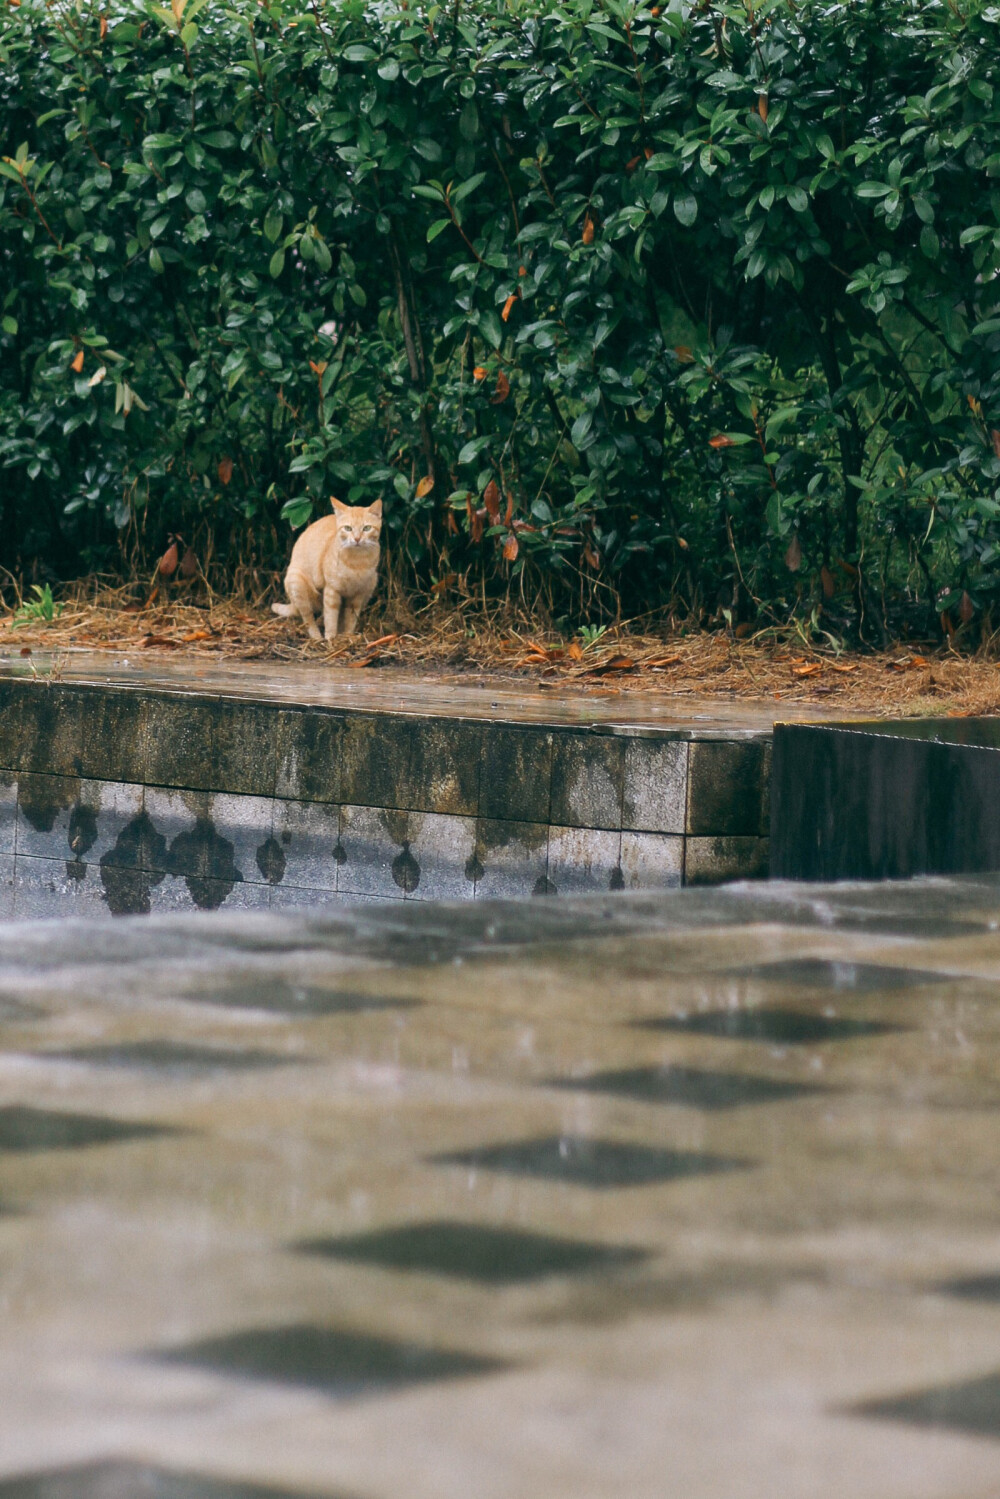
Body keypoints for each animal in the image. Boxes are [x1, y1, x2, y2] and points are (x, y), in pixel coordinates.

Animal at [269, 491, 383, 632]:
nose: (357, 539)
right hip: (297, 583)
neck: (357, 560)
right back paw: (317, 635)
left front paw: (347, 635)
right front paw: (330, 637)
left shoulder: (358, 595)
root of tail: (293, 604)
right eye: (348, 528)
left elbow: (350, 621)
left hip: (372, 583)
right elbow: (331, 620)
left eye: (367, 528)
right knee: (308, 618)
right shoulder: (331, 591)